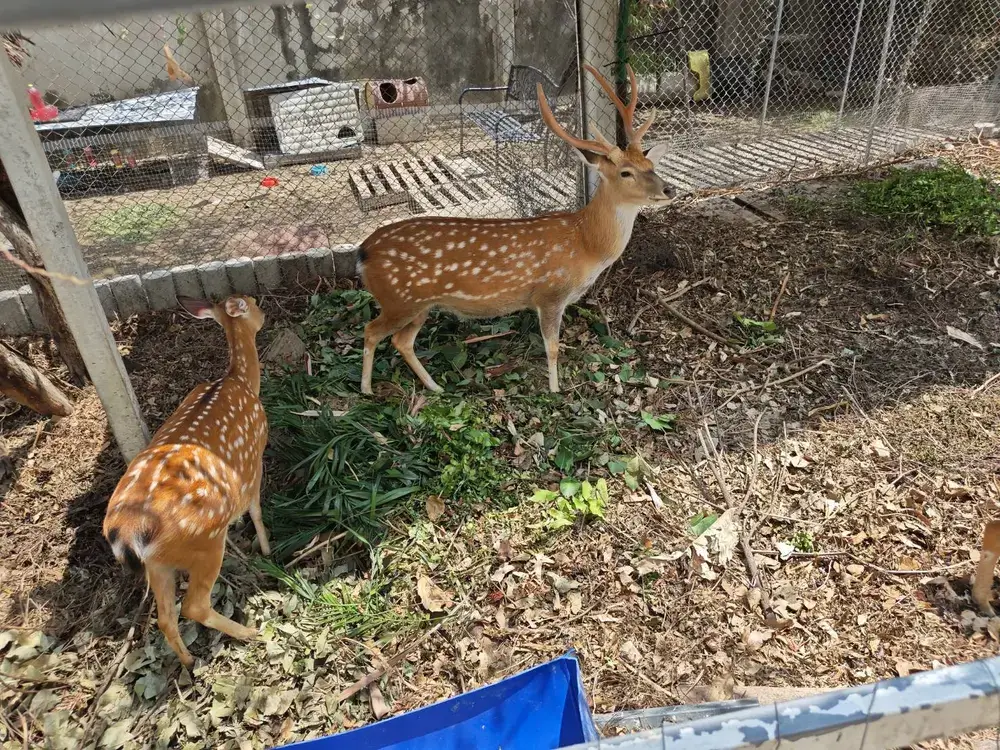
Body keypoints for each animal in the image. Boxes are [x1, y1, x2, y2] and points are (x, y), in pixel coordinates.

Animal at [102, 295, 269, 668]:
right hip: (203, 543)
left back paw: (189, 662)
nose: (263, 311)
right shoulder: (255, 460)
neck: (240, 382)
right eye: (251, 302)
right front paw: (268, 550)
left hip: (159, 564)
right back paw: (249, 633)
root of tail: (128, 533)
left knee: (165, 617)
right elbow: (256, 508)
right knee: (194, 606)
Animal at [358, 63, 674, 396]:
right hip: (400, 300)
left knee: (401, 340)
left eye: (651, 166)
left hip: (419, 306)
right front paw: (555, 390)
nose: (669, 189)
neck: (586, 245)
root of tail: (363, 253)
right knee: (371, 331)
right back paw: (367, 390)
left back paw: (435, 387)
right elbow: (552, 348)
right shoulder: (550, 294)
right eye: (626, 173)